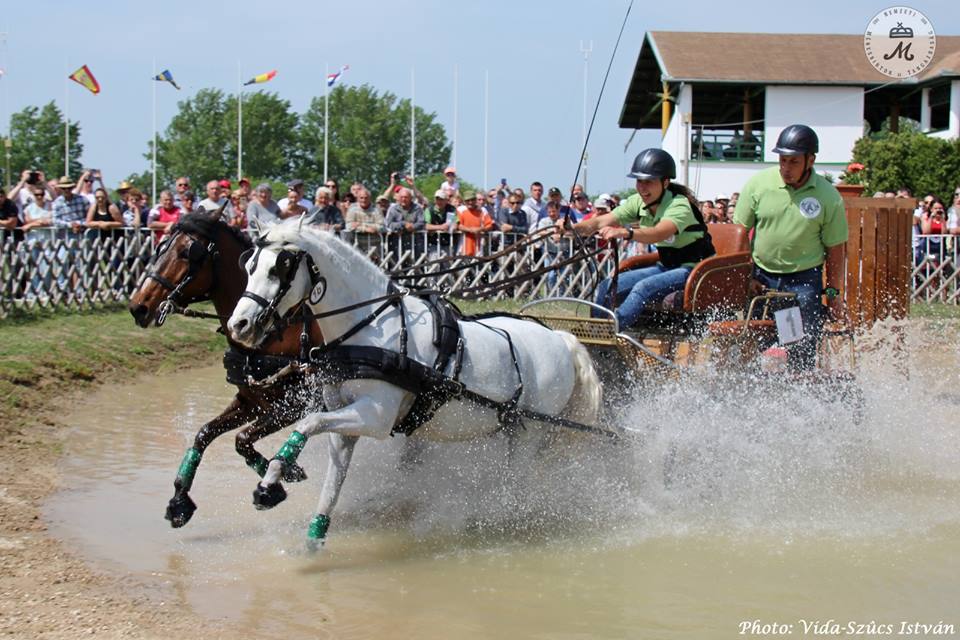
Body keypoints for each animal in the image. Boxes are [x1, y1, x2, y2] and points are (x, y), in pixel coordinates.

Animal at [129, 208, 324, 528]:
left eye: (187, 252)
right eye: (160, 247)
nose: (138, 306)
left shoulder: (296, 403)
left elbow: (241, 438)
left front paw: (279, 478)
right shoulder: (251, 401)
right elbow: (204, 433)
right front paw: (179, 500)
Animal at [227, 220, 600, 552]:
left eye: (279, 269)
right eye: (248, 265)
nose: (238, 325)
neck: (372, 329)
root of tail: (561, 337)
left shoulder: (375, 418)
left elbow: (308, 422)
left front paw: (269, 486)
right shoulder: (346, 424)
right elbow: (331, 484)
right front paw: (309, 539)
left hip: (530, 432)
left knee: (516, 483)